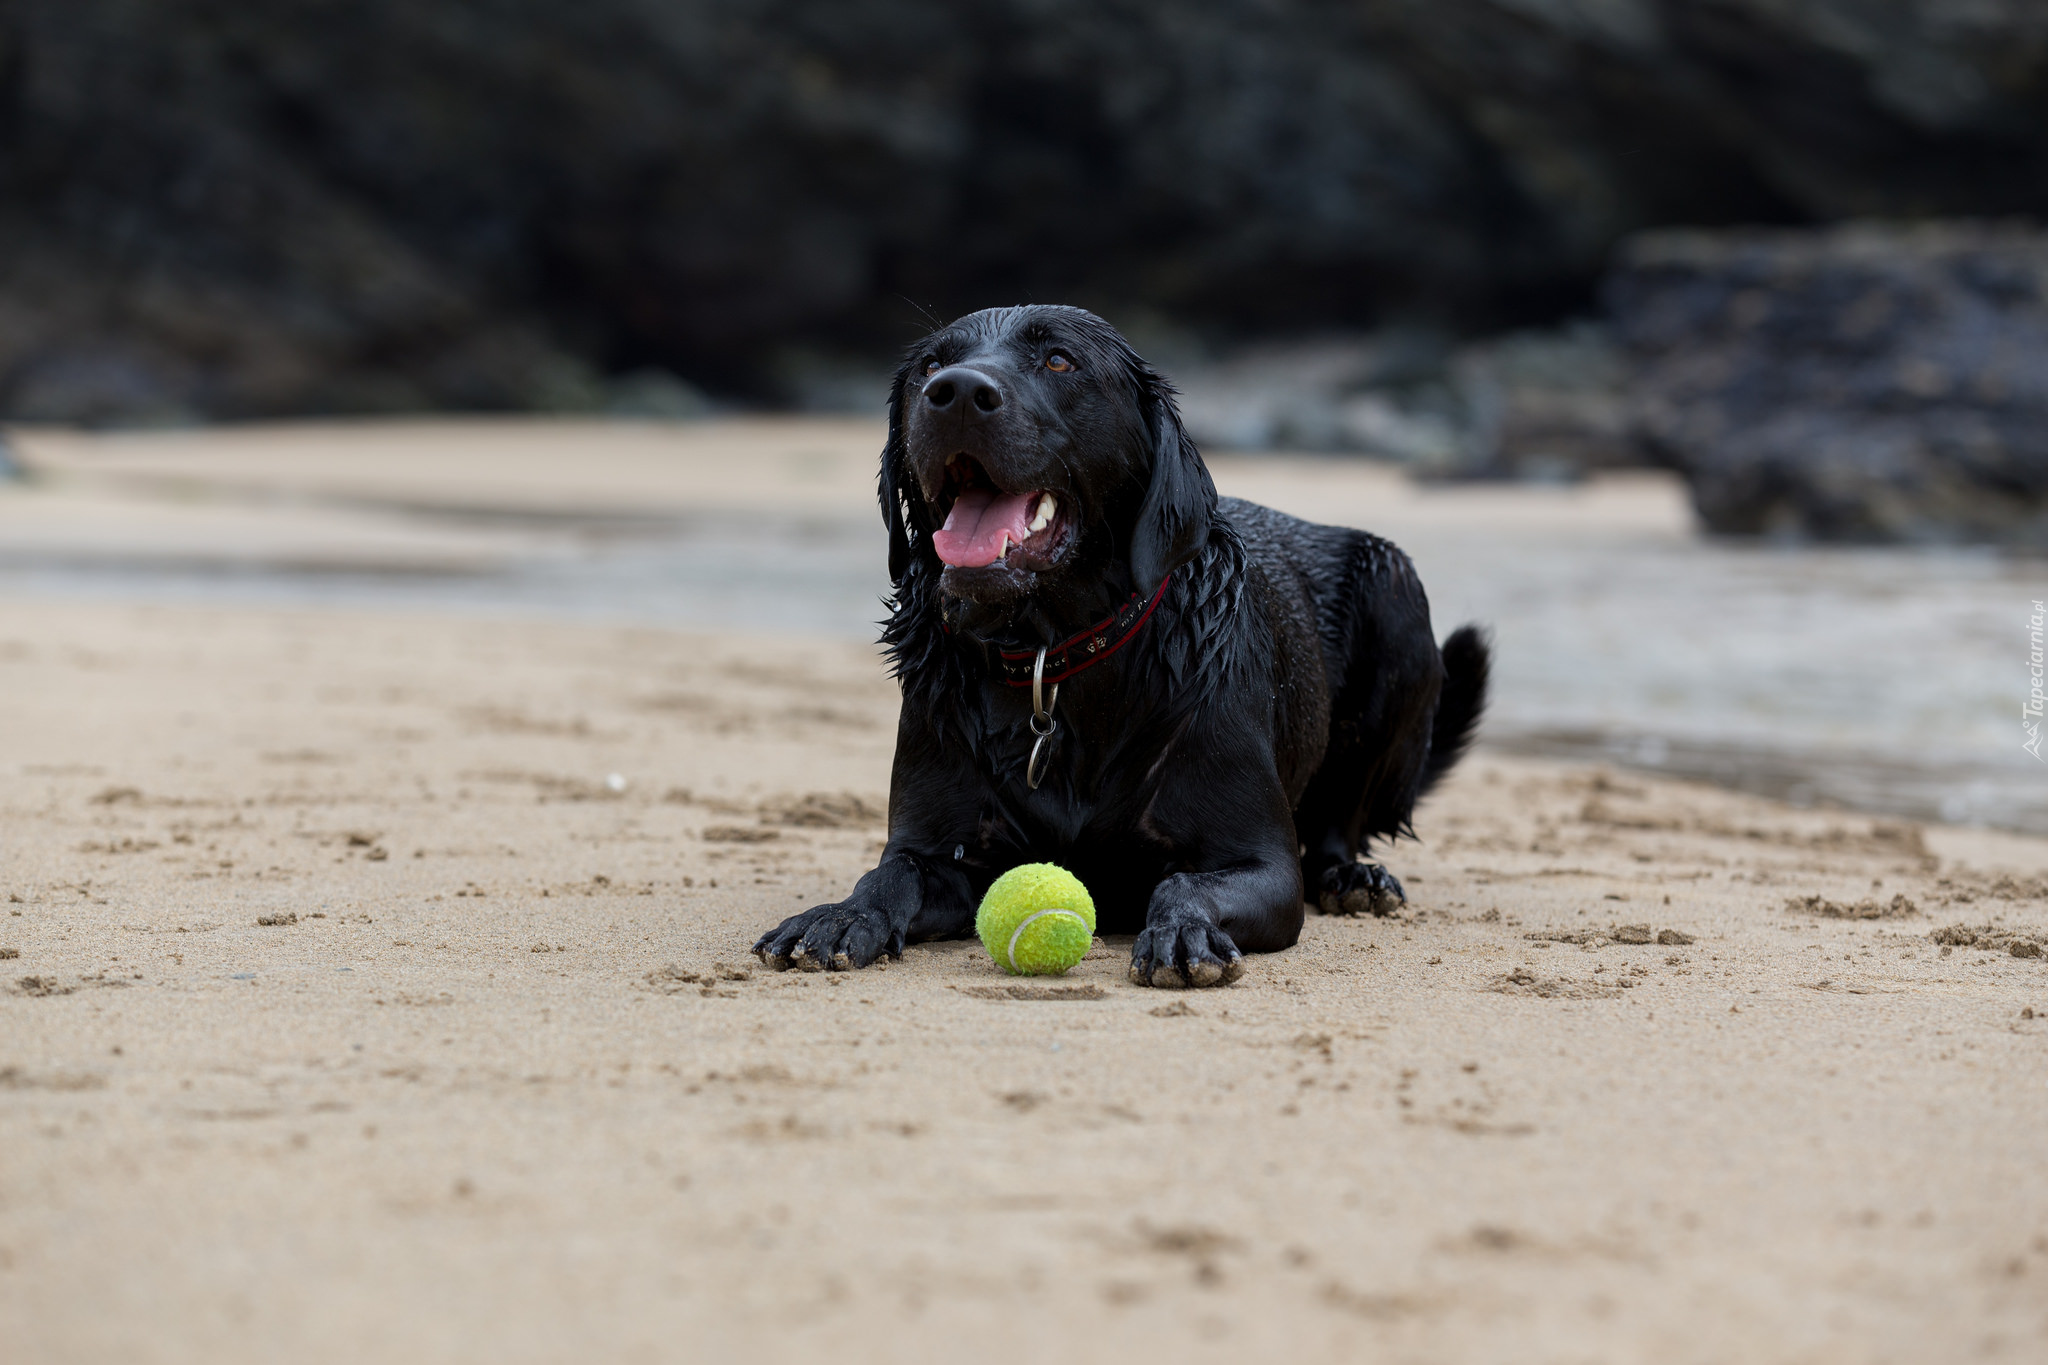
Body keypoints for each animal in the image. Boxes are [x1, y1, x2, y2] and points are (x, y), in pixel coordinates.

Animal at [757, 306, 1490, 994]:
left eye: (1059, 360)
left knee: (1338, 824)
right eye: (929, 366)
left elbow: (1184, 883)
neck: (1052, 654)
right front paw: (839, 917)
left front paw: (1181, 933)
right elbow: (891, 875)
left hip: (1395, 586)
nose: (956, 391)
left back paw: (1352, 877)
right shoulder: (938, 846)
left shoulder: (1262, 864)